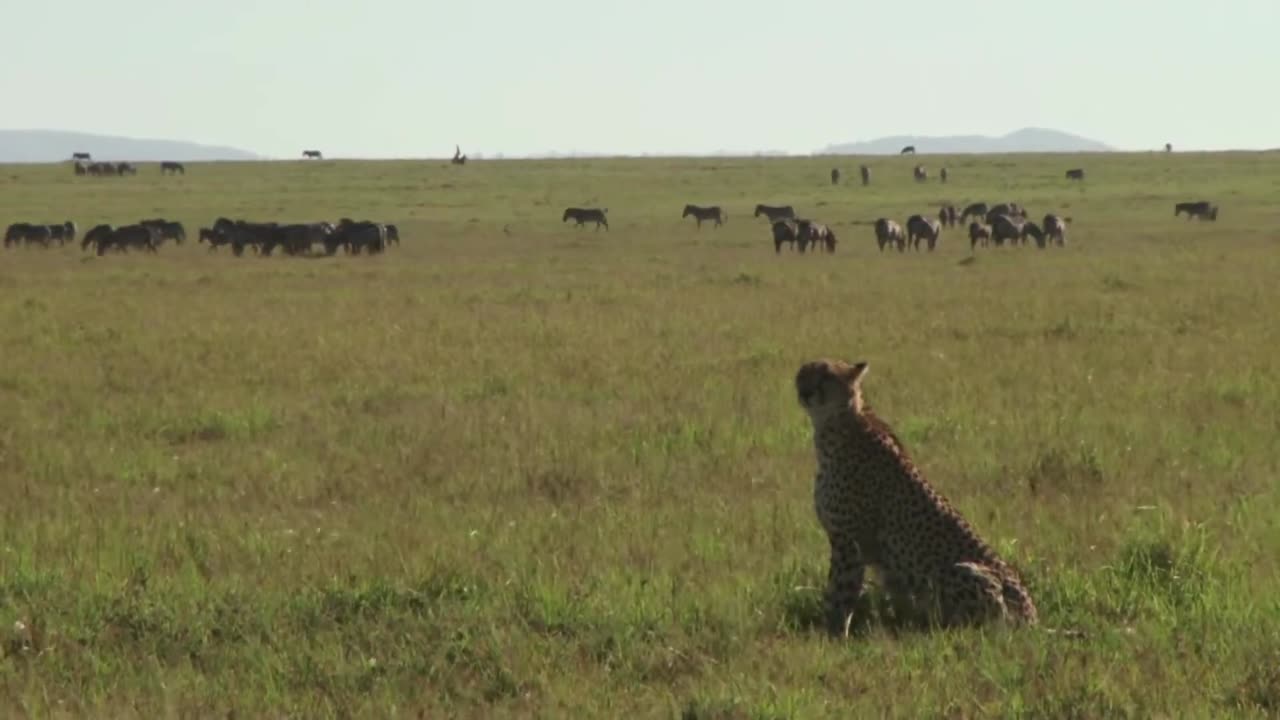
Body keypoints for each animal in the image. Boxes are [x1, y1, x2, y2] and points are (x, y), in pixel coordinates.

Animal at [793, 356, 1034, 632]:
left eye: (826, 376)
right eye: (802, 374)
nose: (804, 391)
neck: (835, 423)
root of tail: (1033, 619)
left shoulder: (849, 542)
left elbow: (840, 591)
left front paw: (831, 632)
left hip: (961, 570)